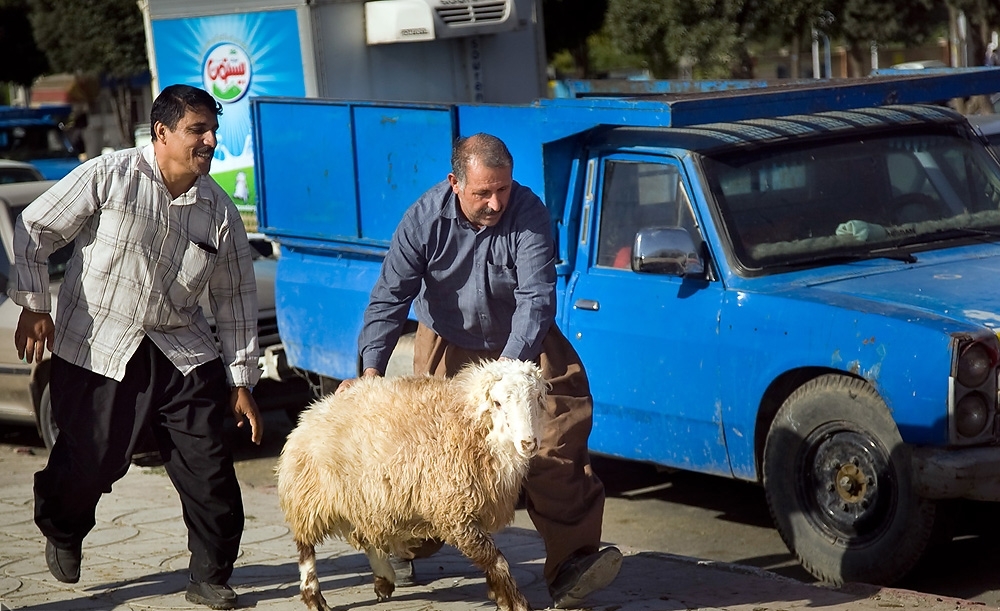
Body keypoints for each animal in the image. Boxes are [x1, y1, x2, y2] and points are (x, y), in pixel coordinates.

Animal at [278, 358, 552, 611]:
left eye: (538, 397)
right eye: (497, 403)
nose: (529, 443)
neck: (468, 425)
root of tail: (313, 410)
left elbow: (489, 557)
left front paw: (499, 596)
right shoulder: (454, 512)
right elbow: (496, 559)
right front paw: (516, 602)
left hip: (363, 498)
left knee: (367, 537)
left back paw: (384, 579)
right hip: (310, 495)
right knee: (306, 548)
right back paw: (314, 596)